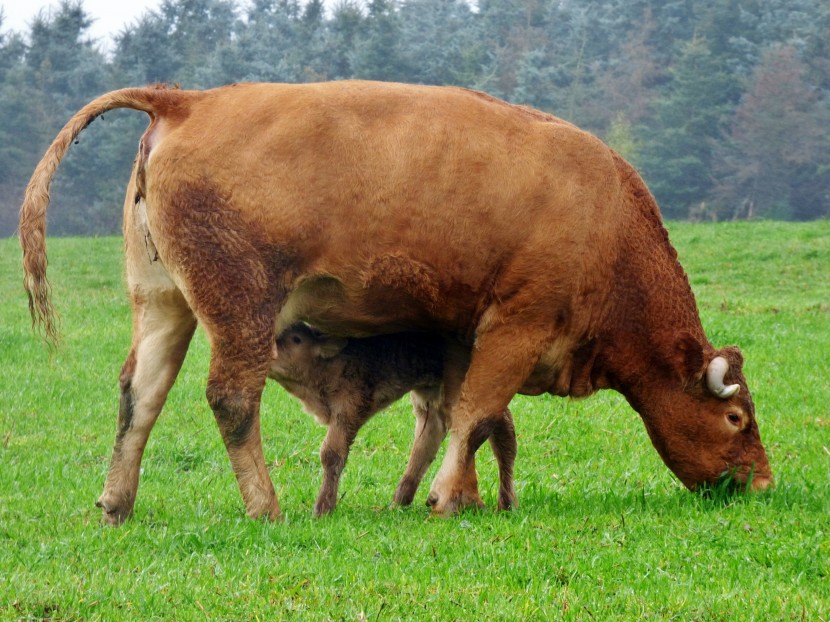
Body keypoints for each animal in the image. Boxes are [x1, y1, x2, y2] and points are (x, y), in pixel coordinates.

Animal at [272, 324, 516, 520]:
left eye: (296, 339)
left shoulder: (349, 409)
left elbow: (331, 453)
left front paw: (322, 509)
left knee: (500, 428)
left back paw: (506, 502)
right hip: (431, 392)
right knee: (429, 440)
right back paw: (400, 501)